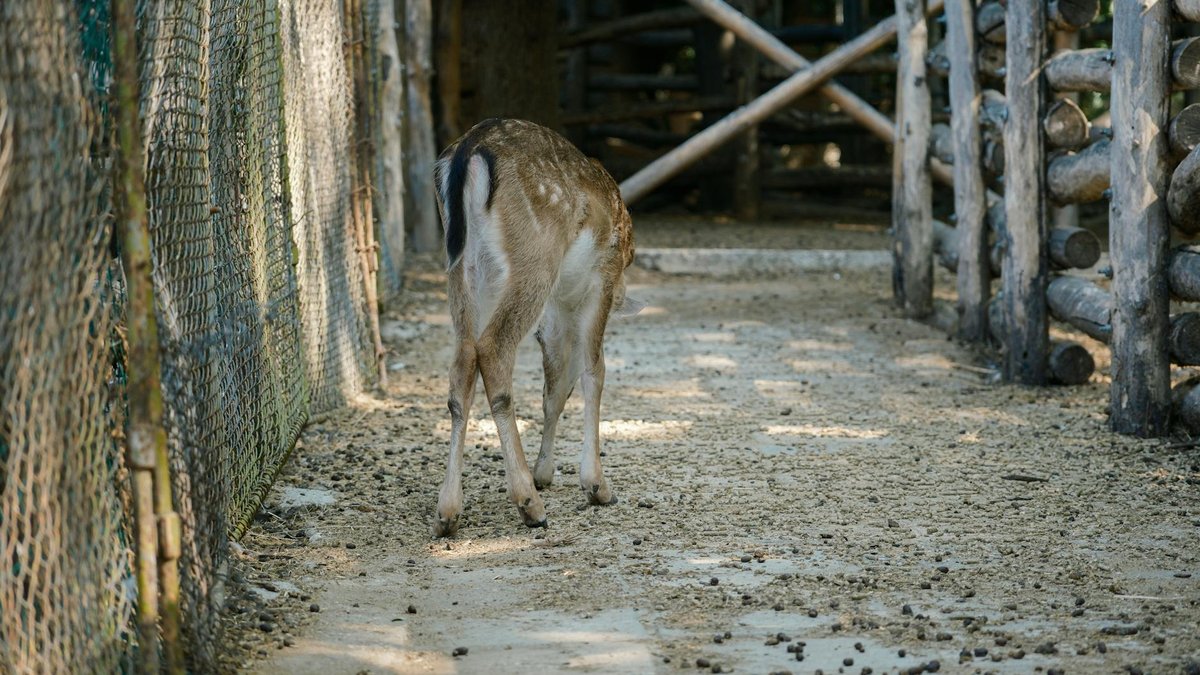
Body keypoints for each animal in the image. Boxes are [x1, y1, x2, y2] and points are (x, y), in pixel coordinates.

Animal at [431, 119, 642, 538]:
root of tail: (468, 150)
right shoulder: (602, 279)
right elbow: (594, 371)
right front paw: (597, 486)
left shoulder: (557, 316)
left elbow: (555, 388)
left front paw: (546, 472)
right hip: (535, 257)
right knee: (492, 349)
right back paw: (530, 504)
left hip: (464, 268)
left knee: (462, 361)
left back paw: (448, 512)